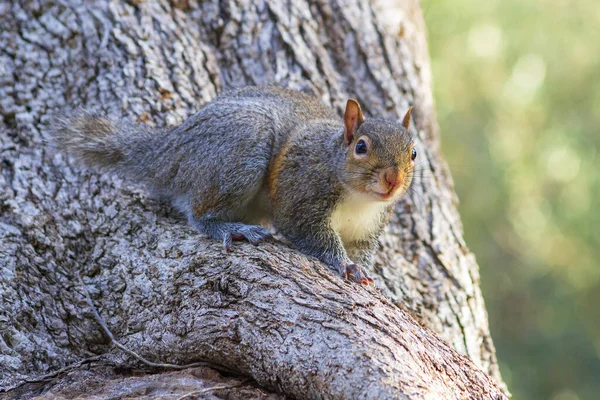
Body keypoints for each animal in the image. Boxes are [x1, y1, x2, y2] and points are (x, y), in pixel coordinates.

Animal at [50, 85, 418, 282]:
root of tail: (169, 150)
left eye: (414, 153)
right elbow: (307, 231)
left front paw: (361, 268)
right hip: (242, 149)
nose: (393, 180)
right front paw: (343, 263)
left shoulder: (366, 229)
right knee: (199, 213)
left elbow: (360, 250)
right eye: (361, 148)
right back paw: (231, 228)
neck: (359, 198)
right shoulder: (300, 189)